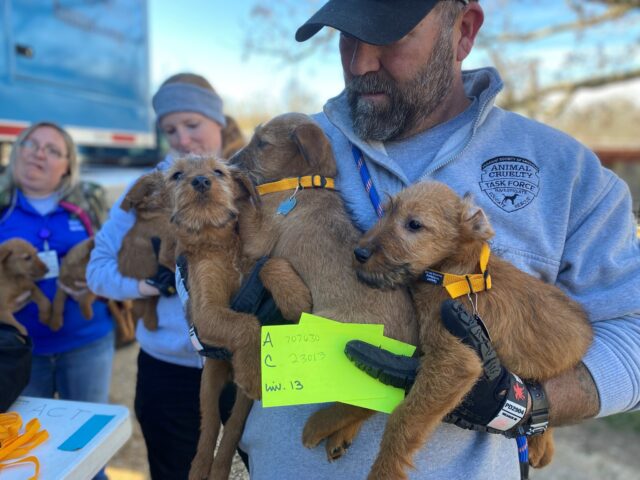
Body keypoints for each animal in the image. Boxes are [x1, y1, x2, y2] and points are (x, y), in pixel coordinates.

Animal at [165, 156, 310, 478]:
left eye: (218, 171)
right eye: (177, 175)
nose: (201, 181)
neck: (217, 245)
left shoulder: (251, 263)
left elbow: (269, 263)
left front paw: (295, 296)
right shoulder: (205, 314)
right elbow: (245, 324)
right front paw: (253, 371)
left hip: (242, 403)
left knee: (230, 431)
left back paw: (219, 469)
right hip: (209, 382)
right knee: (209, 431)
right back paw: (200, 469)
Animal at [230, 112, 420, 462]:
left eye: (262, 142)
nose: (231, 163)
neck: (303, 183)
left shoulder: (258, 240)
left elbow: (263, 248)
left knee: (362, 403)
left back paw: (317, 427)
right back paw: (339, 437)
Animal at [352, 182, 592, 478]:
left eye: (414, 224)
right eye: (385, 212)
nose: (359, 253)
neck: (453, 275)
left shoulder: (456, 361)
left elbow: (402, 420)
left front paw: (384, 469)